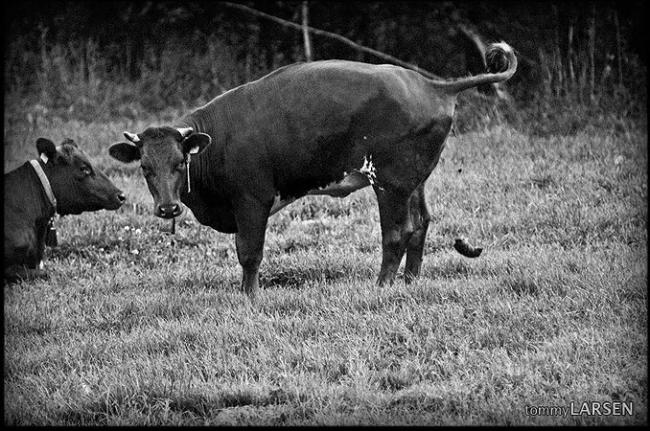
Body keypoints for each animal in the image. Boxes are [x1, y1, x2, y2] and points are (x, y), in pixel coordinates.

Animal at [110, 42, 516, 296]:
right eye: (145, 167)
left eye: (181, 162)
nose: (168, 208)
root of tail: (431, 85)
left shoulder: (253, 199)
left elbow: (249, 252)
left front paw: (248, 298)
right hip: (413, 179)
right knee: (421, 224)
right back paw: (409, 283)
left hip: (391, 181)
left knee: (398, 232)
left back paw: (382, 287)